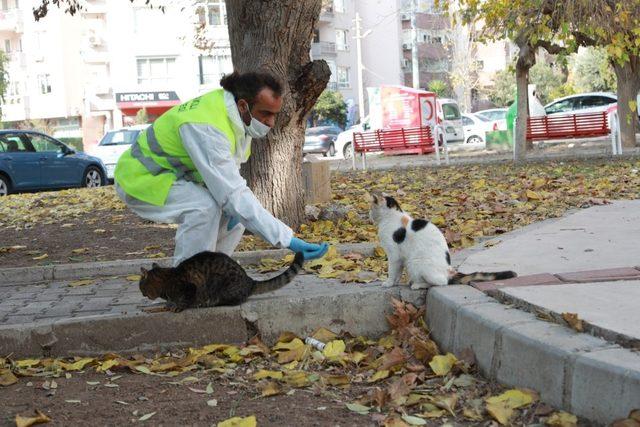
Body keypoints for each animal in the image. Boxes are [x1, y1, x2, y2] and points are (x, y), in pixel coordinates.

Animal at [140, 252, 304, 312]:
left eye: (141, 287)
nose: (142, 294)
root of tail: (249, 280)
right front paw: (169, 304)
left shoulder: (189, 287)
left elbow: (185, 299)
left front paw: (177, 306)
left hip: (220, 285)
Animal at [368, 195, 516, 290]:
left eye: (371, 207)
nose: (368, 215)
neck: (391, 216)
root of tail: (450, 271)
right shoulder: (400, 258)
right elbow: (398, 272)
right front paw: (395, 282)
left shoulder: (394, 255)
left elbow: (392, 271)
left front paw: (389, 283)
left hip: (415, 262)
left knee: (441, 282)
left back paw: (417, 284)